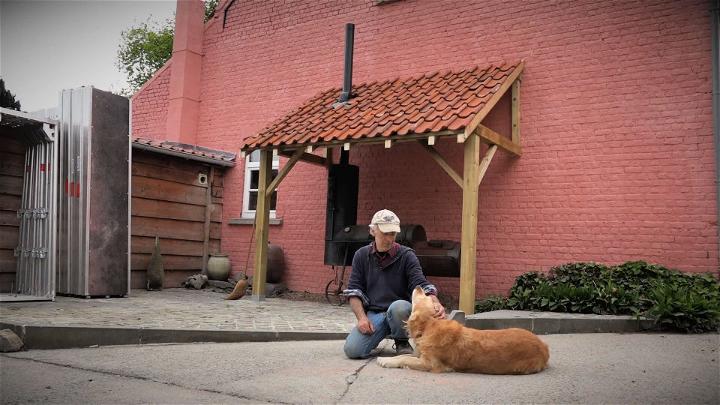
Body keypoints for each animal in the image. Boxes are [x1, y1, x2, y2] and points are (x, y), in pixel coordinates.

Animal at [374, 286, 548, 374]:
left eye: (426, 297)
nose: (418, 286)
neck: (430, 325)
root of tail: (544, 347)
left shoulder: (430, 363)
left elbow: (405, 359)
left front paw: (385, 361)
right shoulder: (420, 355)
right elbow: (403, 355)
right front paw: (386, 359)